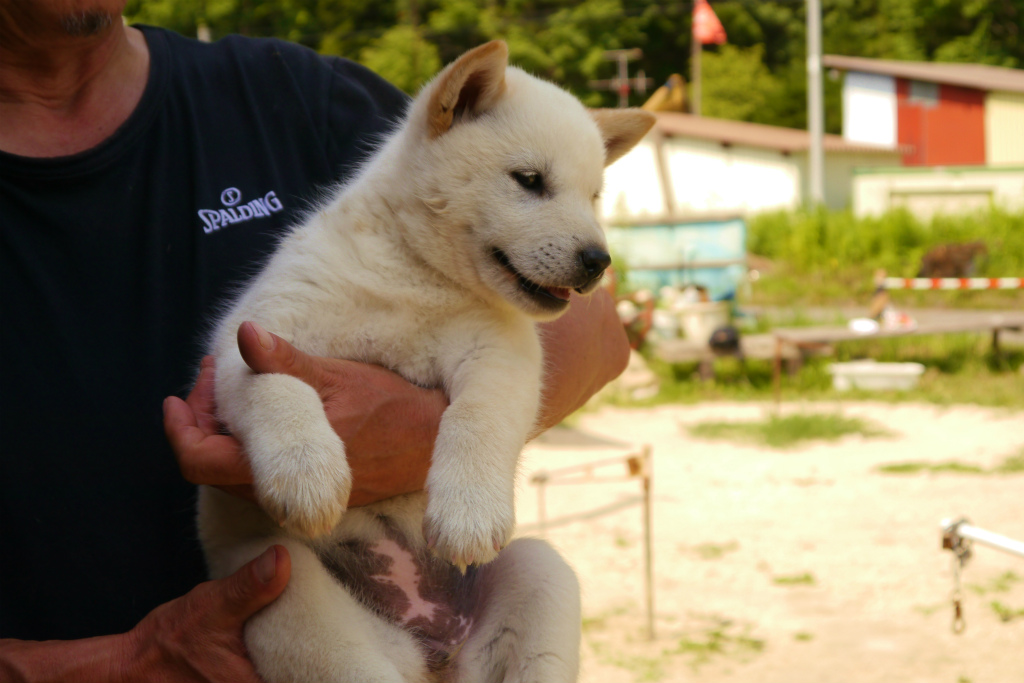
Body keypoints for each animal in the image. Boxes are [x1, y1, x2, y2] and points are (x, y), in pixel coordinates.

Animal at [195, 40, 651, 679]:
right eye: (529, 181)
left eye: (593, 197)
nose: (598, 261)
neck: (417, 277)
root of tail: (431, 645)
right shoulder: (257, 332)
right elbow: (279, 384)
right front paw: (308, 473)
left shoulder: (501, 355)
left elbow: (477, 417)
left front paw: (468, 513)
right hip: (289, 588)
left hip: (539, 571)